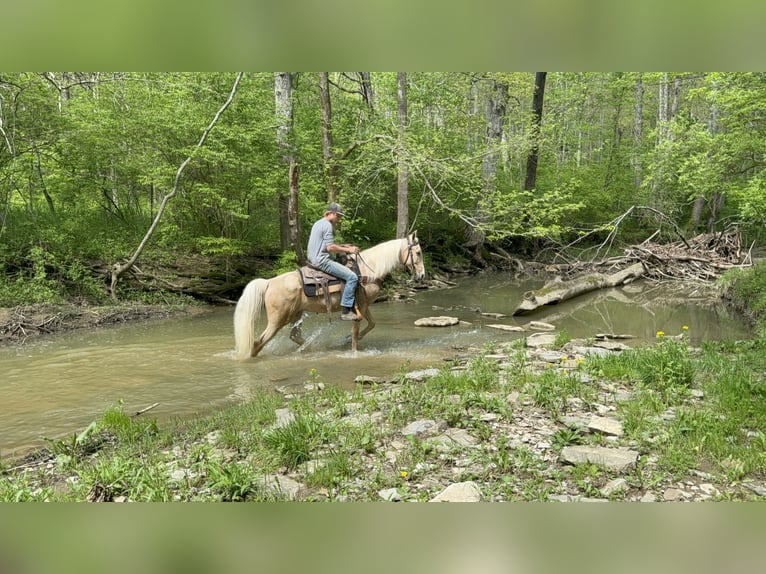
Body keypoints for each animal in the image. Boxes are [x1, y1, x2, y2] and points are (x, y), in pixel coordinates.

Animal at [233, 231, 426, 361]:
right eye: (418, 253)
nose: (422, 275)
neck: (368, 271)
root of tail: (269, 282)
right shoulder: (359, 308)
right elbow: (356, 332)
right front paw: (353, 350)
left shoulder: (365, 306)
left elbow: (371, 324)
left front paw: (346, 340)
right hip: (278, 320)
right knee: (258, 343)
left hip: (295, 315)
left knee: (294, 336)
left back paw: (310, 349)